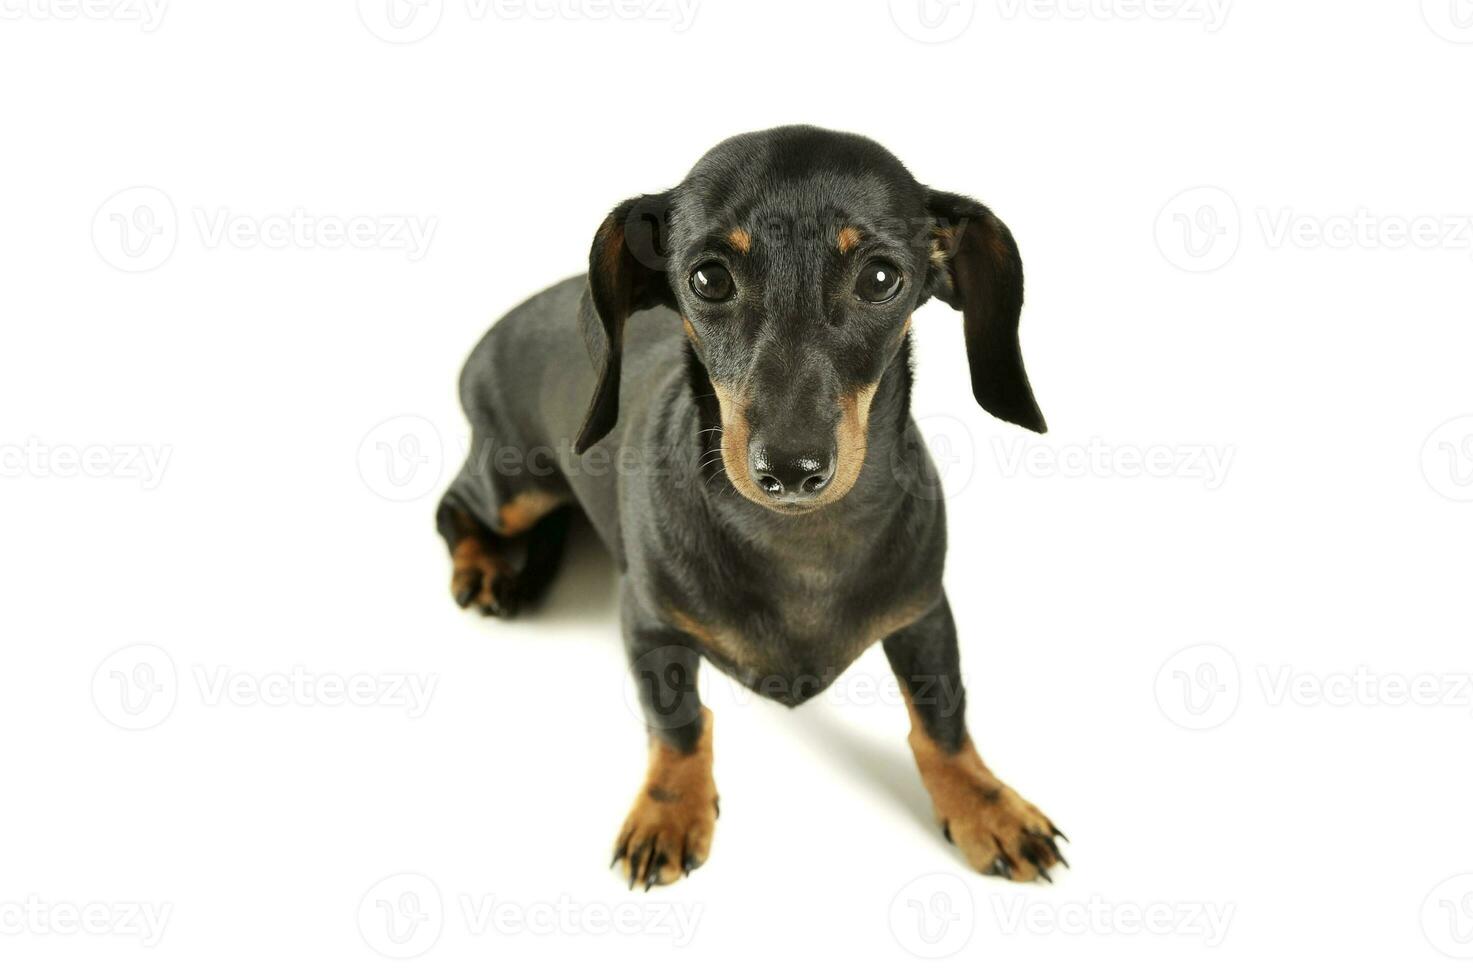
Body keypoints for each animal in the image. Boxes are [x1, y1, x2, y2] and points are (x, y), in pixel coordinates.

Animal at [430, 122, 1066, 884]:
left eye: (882, 278)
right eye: (708, 278)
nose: (790, 470)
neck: (800, 541)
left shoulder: (924, 612)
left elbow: (941, 718)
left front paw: (987, 807)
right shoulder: (647, 622)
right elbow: (677, 721)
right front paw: (669, 811)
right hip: (514, 486)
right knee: (452, 507)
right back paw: (484, 568)